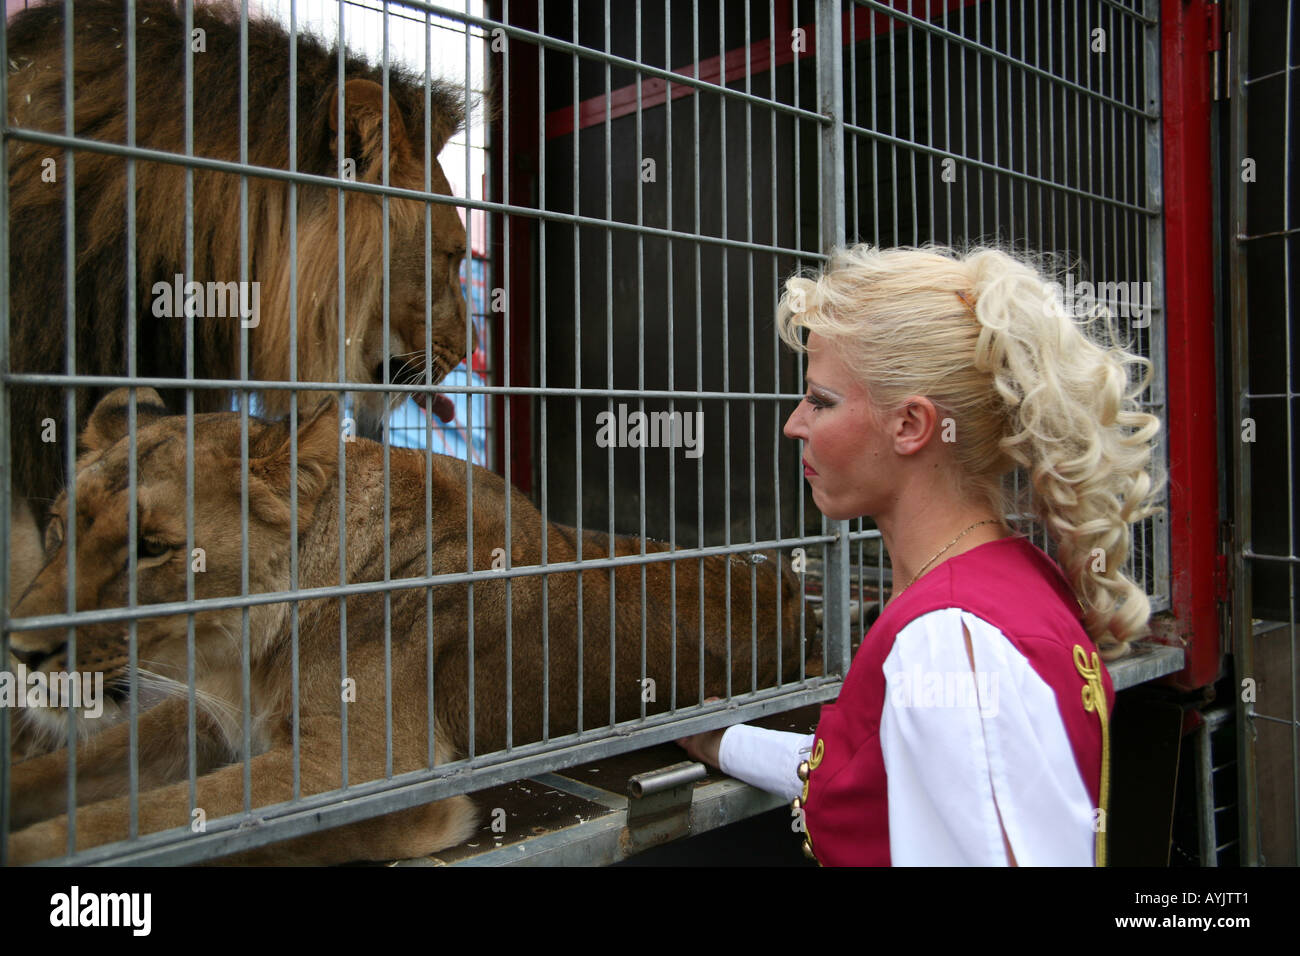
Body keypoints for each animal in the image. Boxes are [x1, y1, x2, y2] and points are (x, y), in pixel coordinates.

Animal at [5, 390, 806, 868]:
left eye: (152, 547)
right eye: (58, 528)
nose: (21, 652)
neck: (242, 655)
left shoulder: (366, 770)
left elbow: (148, 824)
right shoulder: (211, 717)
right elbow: (77, 775)